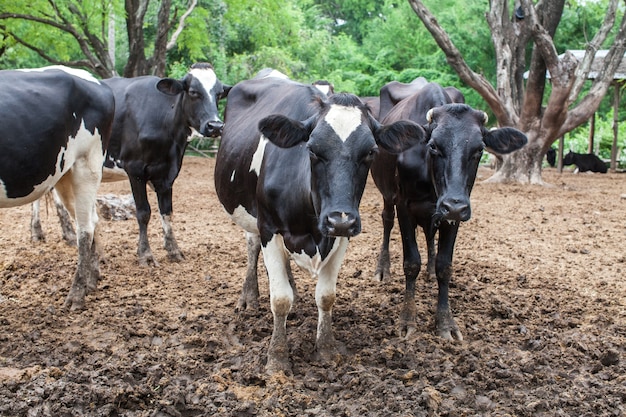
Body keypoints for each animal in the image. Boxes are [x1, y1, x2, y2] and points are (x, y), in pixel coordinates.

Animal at [0, 65, 114, 308]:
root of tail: (94, 80)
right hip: (64, 175)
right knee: (92, 220)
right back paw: (92, 280)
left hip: (87, 165)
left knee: (85, 229)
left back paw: (76, 295)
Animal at [101, 62, 230, 264]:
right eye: (193, 92)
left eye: (218, 94)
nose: (215, 126)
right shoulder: (134, 169)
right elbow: (143, 212)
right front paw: (145, 254)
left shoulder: (168, 172)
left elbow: (167, 212)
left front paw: (174, 250)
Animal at [212, 76, 422, 372]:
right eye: (311, 149)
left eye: (371, 152)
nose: (339, 218)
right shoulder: (269, 229)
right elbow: (280, 299)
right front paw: (277, 358)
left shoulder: (341, 235)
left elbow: (326, 296)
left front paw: (325, 349)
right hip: (249, 215)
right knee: (252, 247)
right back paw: (249, 297)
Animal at [368, 82, 524, 342]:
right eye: (433, 146)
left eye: (479, 149)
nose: (454, 204)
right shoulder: (404, 206)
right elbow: (411, 263)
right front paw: (407, 319)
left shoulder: (454, 215)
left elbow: (445, 266)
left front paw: (445, 322)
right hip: (387, 195)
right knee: (387, 221)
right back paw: (383, 269)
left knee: (429, 236)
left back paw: (429, 270)